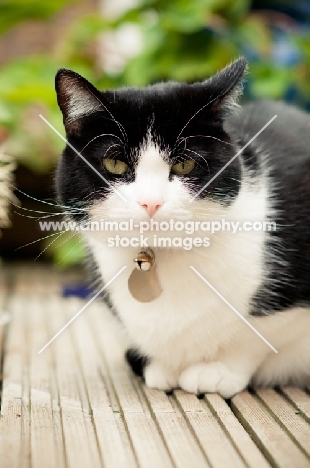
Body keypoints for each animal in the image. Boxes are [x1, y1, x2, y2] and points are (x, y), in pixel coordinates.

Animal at [54, 56, 310, 396]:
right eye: (115, 164)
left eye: (184, 164)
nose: (151, 202)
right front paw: (164, 366)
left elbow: (256, 336)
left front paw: (218, 370)